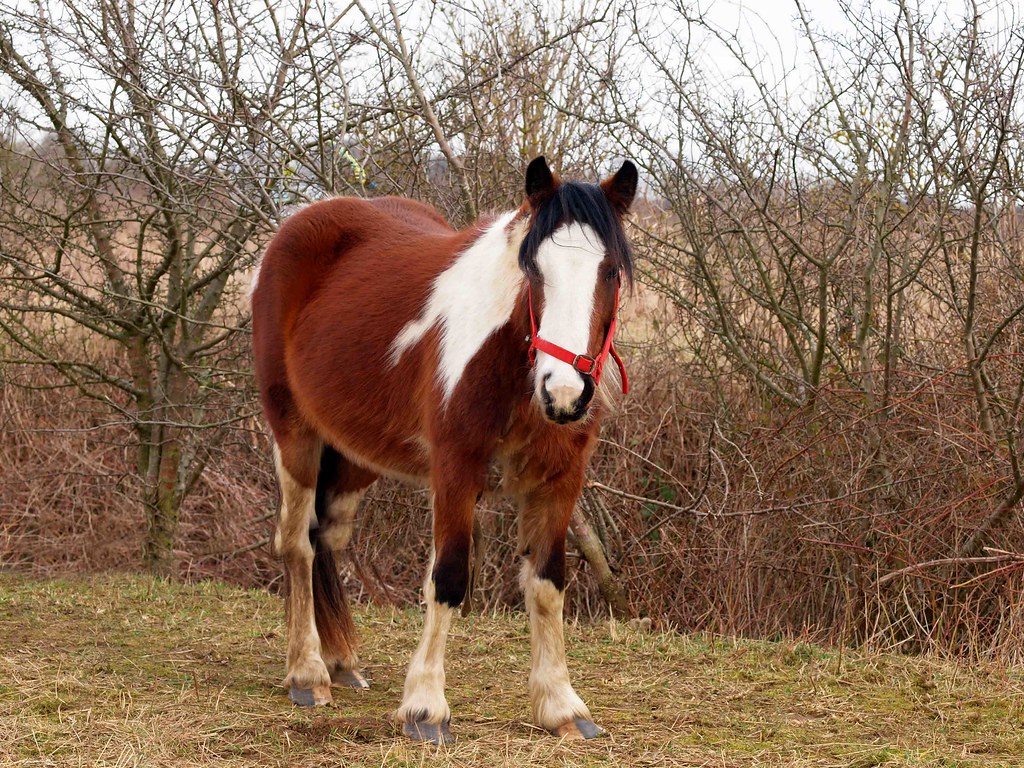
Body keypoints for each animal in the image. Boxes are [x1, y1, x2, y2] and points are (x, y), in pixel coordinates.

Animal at [250, 156, 637, 744]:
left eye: (609, 272)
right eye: (534, 271)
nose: (565, 393)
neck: (511, 369)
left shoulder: (560, 480)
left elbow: (548, 584)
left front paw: (560, 705)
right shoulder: (456, 471)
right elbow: (449, 578)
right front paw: (426, 708)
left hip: (357, 455)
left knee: (326, 537)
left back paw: (340, 662)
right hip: (295, 433)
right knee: (297, 543)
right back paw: (307, 673)